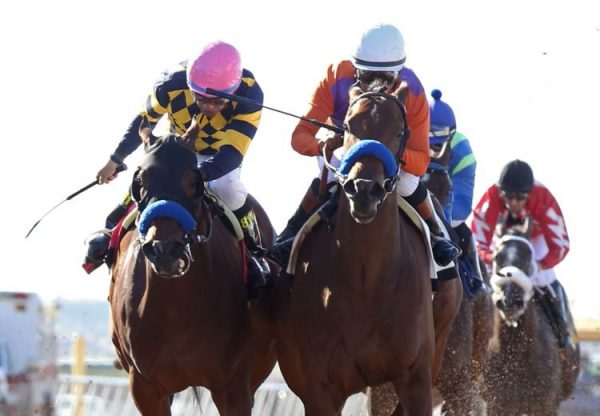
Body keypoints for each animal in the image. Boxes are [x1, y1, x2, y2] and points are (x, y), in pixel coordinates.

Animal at [108, 135, 276, 414]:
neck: (177, 306)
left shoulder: (233, 384)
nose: (164, 249)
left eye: (192, 182)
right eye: (140, 182)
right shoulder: (144, 386)